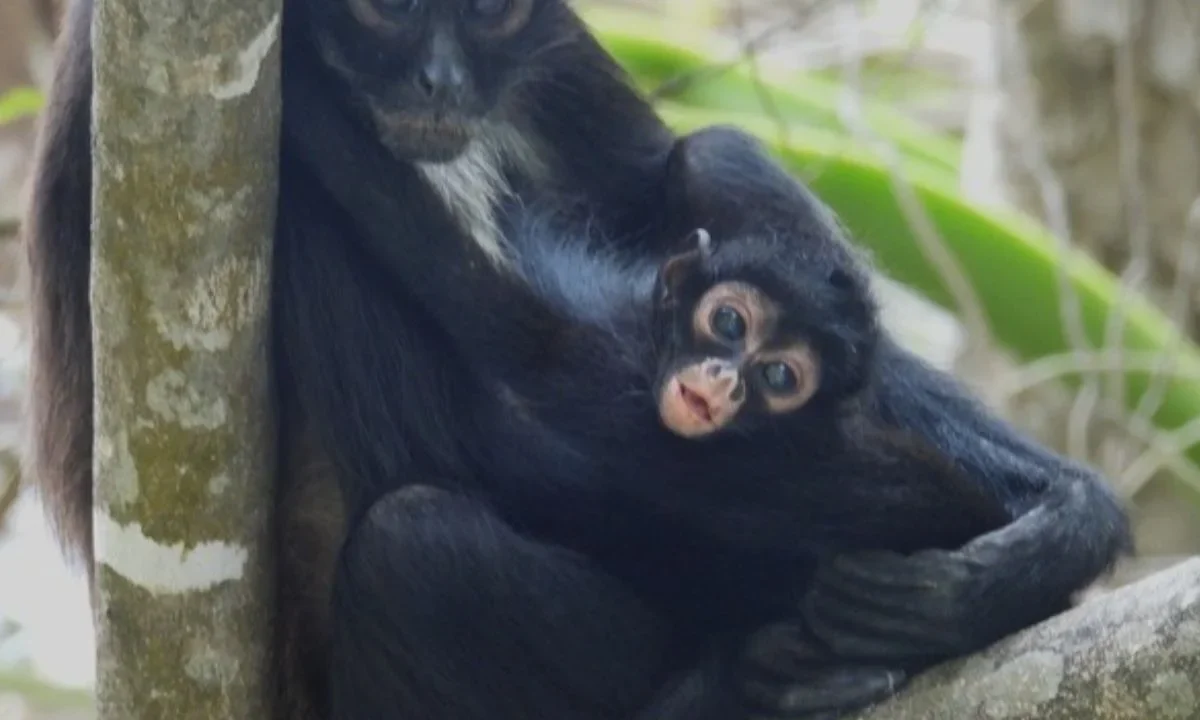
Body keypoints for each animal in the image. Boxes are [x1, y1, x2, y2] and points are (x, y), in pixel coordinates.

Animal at [25, 0, 1132, 717]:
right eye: (387, 8)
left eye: (489, 14)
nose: (441, 82)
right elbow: (523, 419)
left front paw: (1045, 539)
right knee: (417, 544)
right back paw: (727, 684)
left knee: (714, 156)